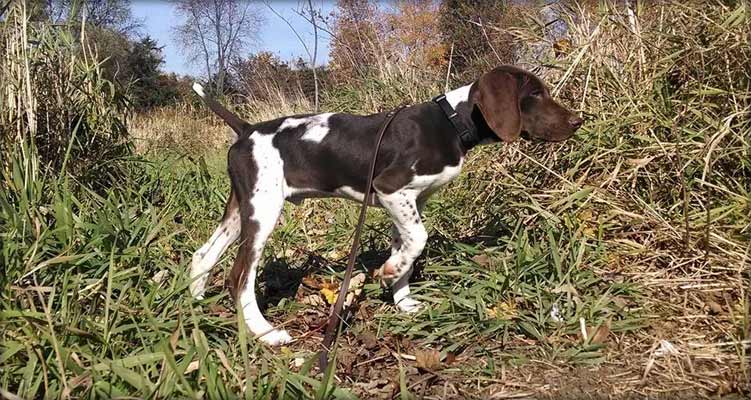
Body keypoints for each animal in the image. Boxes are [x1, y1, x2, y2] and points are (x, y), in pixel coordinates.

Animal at [191, 65, 584, 344]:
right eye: (534, 94)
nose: (578, 120)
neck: (452, 121)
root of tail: (246, 129)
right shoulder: (391, 189)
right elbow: (418, 241)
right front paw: (390, 273)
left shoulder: (411, 201)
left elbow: (407, 246)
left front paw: (402, 299)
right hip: (264, 211)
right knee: (239, 277)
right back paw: (265, 333)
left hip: (242, 209)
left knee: (203, 255)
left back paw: (195, 306)